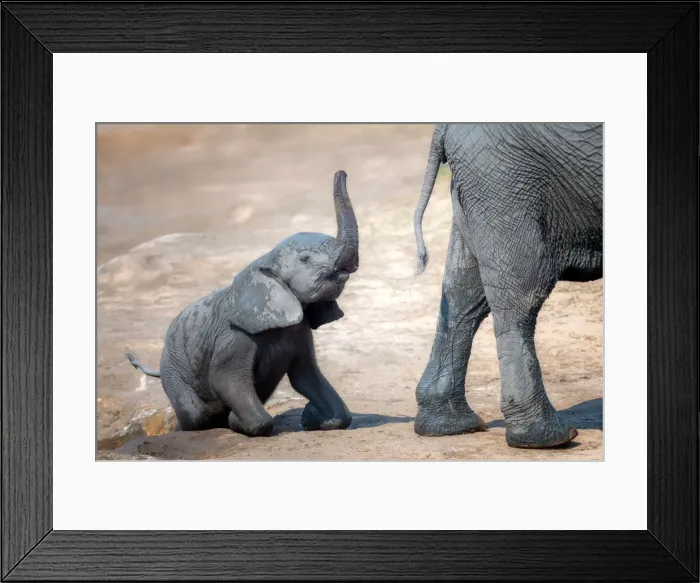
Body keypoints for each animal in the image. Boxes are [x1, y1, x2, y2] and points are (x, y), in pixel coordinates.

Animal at [126, 170, 359, 438]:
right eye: (305, 259)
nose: (341, 173)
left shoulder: (299, 331)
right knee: (196, 415)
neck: (265, 259)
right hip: (173, 370)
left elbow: (307, 378)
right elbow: (225, 379)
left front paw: (311, 418)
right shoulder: (235, 336)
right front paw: (236, 422)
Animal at [412, 123, 602, 449]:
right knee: (521, 296)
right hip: (506, 175)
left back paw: (448, 426)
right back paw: (546, 438)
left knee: (464, 291)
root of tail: (444, 126)